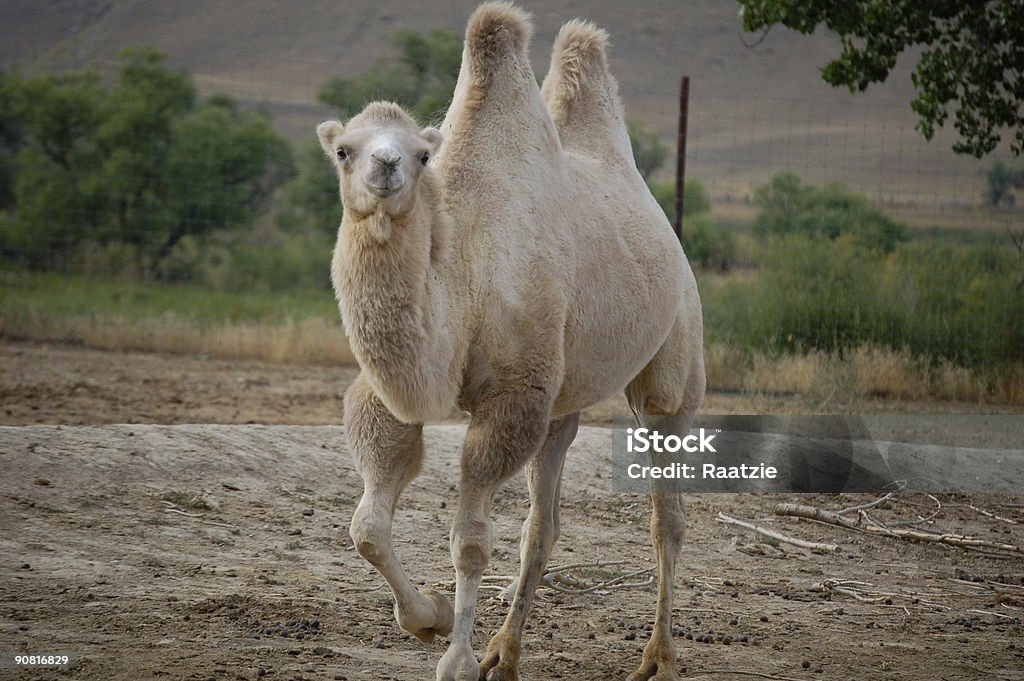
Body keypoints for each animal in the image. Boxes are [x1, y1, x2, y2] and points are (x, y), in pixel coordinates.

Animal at [319, 2, 704, 675]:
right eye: (345, 149)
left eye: (421, 155)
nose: (385, 167)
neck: (465, 274)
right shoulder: (394, 396)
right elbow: (367, 528)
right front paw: (428, 619)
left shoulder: (513, 397)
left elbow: (470, 542)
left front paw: (455, 660)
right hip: (563, 406)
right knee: (542, 525)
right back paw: (506, 653)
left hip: (673, 367)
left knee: (667, 516)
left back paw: (657, 658)